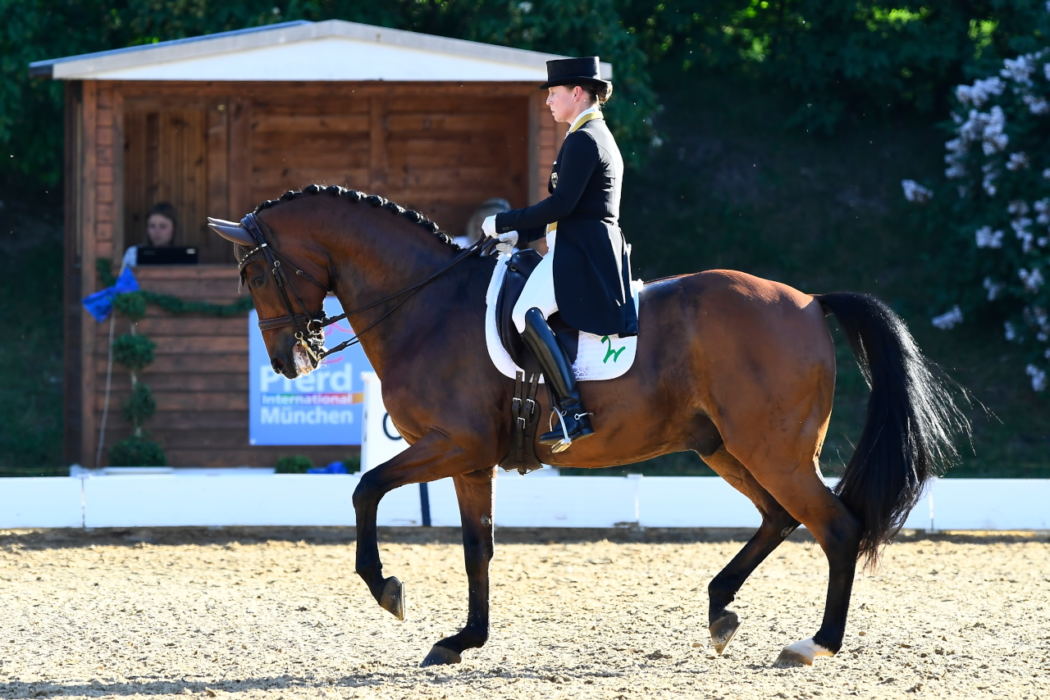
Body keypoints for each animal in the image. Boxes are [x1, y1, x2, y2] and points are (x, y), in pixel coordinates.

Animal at [208, 184, 970, 667]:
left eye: (256, 274)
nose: (290, 361)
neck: (428, 305)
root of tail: (811, 301)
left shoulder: (449, 444)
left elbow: (365, 490)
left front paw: (388, 590)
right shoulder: (469, 458)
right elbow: (476, 548)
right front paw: (462, 641)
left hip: (772, 449)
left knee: (834, 526)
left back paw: (816, 644)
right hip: (724, 448)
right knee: (780, 518)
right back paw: (721, 610)